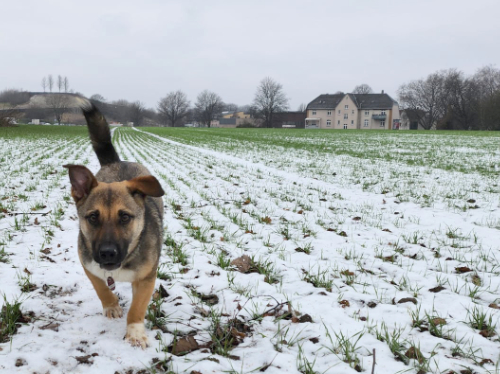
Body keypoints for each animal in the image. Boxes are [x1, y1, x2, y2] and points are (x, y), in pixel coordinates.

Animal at [63, 99, 165, 348]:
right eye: (93, 217)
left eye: (125, 217)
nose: (108, 253)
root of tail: (116, 161)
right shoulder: (88, 263)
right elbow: (101, 287)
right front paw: (111, 306)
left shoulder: (147, 276)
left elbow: (138, 306)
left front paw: (135, 332)